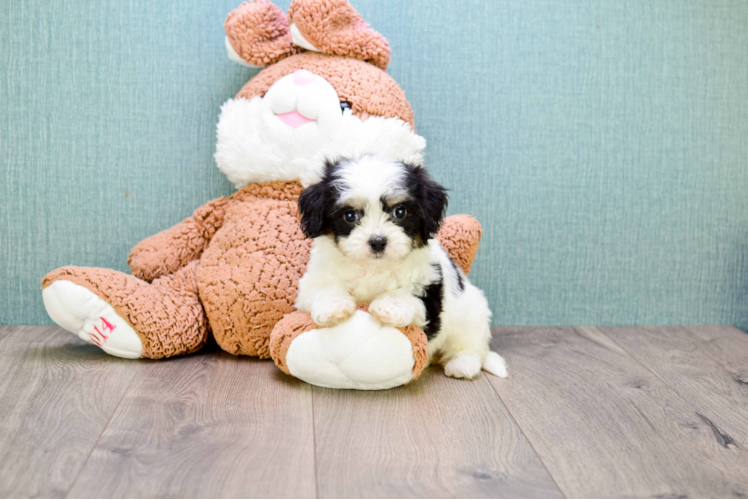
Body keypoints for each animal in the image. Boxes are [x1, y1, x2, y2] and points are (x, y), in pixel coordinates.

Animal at [296, 156, 506, 378]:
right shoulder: (314, 279)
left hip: (470, 316)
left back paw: (463, 364)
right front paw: (333, 307)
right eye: (350, 215)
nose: (378, 241)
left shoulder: (429, 287)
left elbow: (410, 295)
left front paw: (390, 305)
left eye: (400, 212)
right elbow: (323, 287)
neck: (373, 268)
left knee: (470, 345)